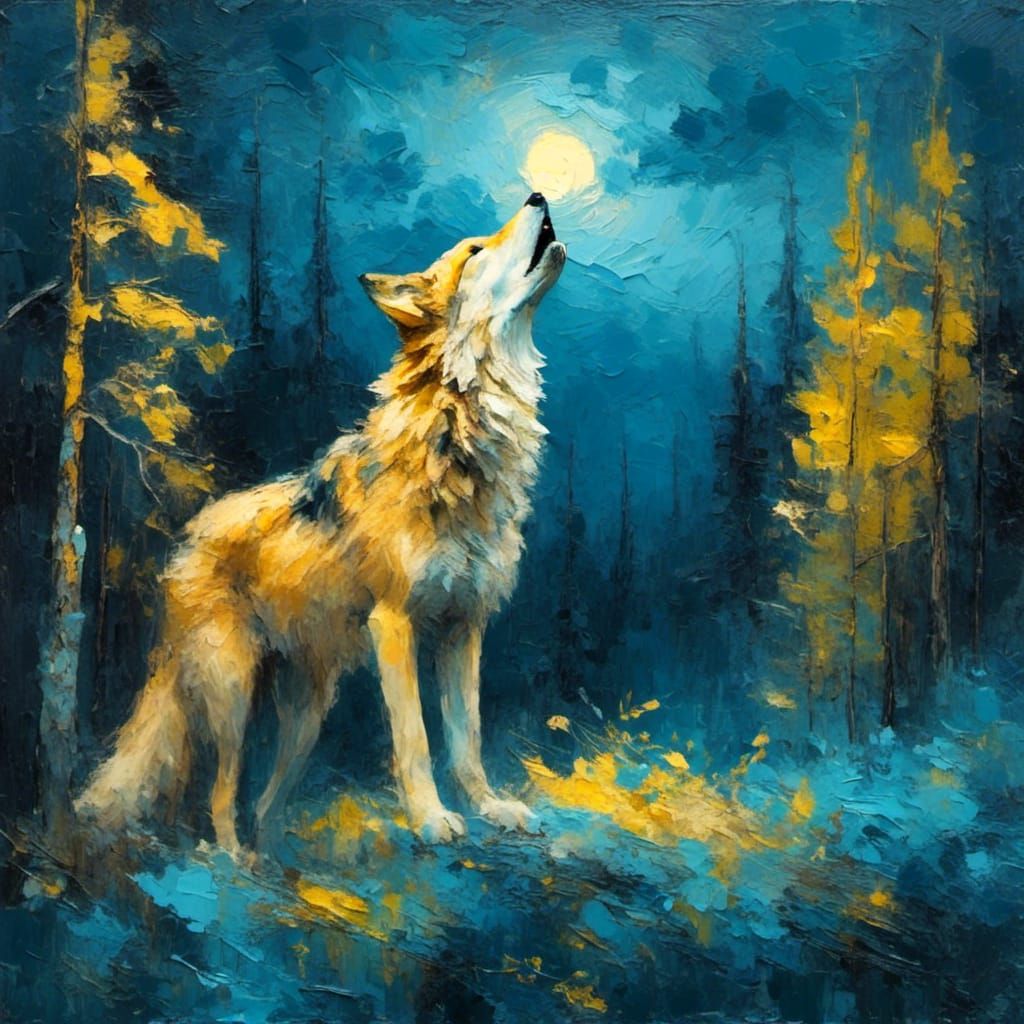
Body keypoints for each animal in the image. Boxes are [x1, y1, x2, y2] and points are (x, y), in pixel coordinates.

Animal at [76, 192, 566, 859]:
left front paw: (491, 808)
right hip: (232, 694)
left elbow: (466, 739)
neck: (457, 442)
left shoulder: (465, 627)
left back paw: (270, 856)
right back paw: (232, 860)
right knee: (221, 793)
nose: (538, 195)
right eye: (473, 250)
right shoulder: (395, 624)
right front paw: (432, 820)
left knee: (265, 800)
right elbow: (415, 741)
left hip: (307, 712)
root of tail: (185, 539)